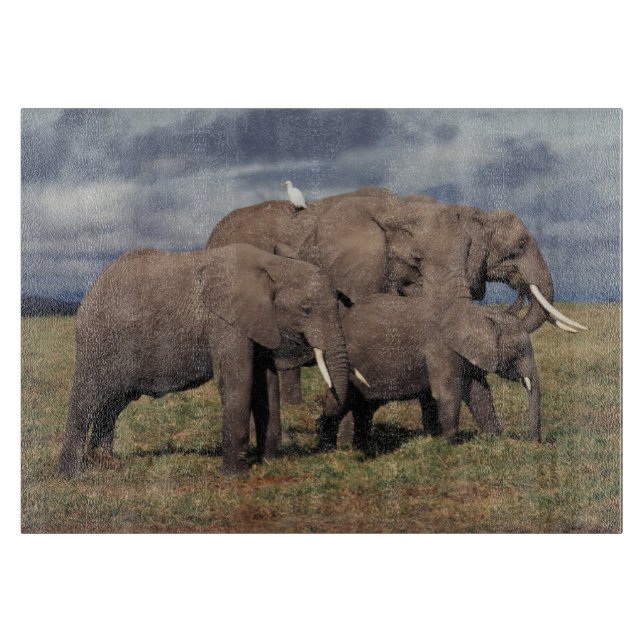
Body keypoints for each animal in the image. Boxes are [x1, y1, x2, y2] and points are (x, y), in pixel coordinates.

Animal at [58, 243, 350, 476]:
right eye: (306, 309)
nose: (321, 427)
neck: (273, 265)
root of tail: (90, 289)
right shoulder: (224, 322)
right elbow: (237, 382)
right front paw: (235, 475)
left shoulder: (260, 323)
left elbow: (265, 385)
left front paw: (270, 463)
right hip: (97, 341)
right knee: (88, 398)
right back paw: (71, 474)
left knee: (112, 403)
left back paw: (105, 464)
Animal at [316, 291, 541, 452]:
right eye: (519, 350)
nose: (535, 443)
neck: (479, 313)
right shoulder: (441, 349)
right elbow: (448, 394)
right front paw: (448, 444)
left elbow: (479, 394)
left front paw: (494, 438)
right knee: (339, 403)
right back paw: (330, 449)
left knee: (363, 408)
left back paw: (356, 448)